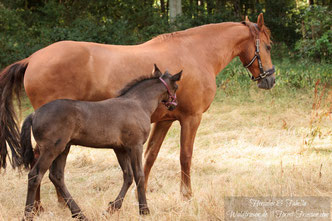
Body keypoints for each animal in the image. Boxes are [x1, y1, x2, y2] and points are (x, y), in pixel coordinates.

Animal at [20, 65, 182, 219]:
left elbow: (128, 176)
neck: (138, 104)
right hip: (51, 149)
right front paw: (144, 211)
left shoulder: (120, 149)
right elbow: (139, 175)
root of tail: (34, 114)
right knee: (35, 175)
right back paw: (28, 214)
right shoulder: (135, 146)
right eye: (176, 87)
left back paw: (79, 214)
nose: (174, 104)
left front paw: (111, 208)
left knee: (57, 177)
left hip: (63, 149)